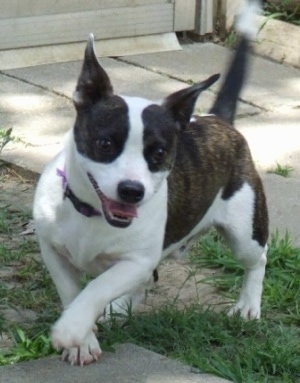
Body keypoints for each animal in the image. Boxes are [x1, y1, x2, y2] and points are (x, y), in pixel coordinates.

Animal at [33, 0, 268, 366]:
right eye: (105, 144)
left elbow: (96, 288)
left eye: (159, 152)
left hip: (245, 229)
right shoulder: (53, 250)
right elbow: (71, 291)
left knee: (257, 259)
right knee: (148, 280)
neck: (92, 213)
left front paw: (72, 329)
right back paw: (118, 310)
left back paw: (247, 305)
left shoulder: (136, 260)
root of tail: (217, 119)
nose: (132, 190)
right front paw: (82, 339)